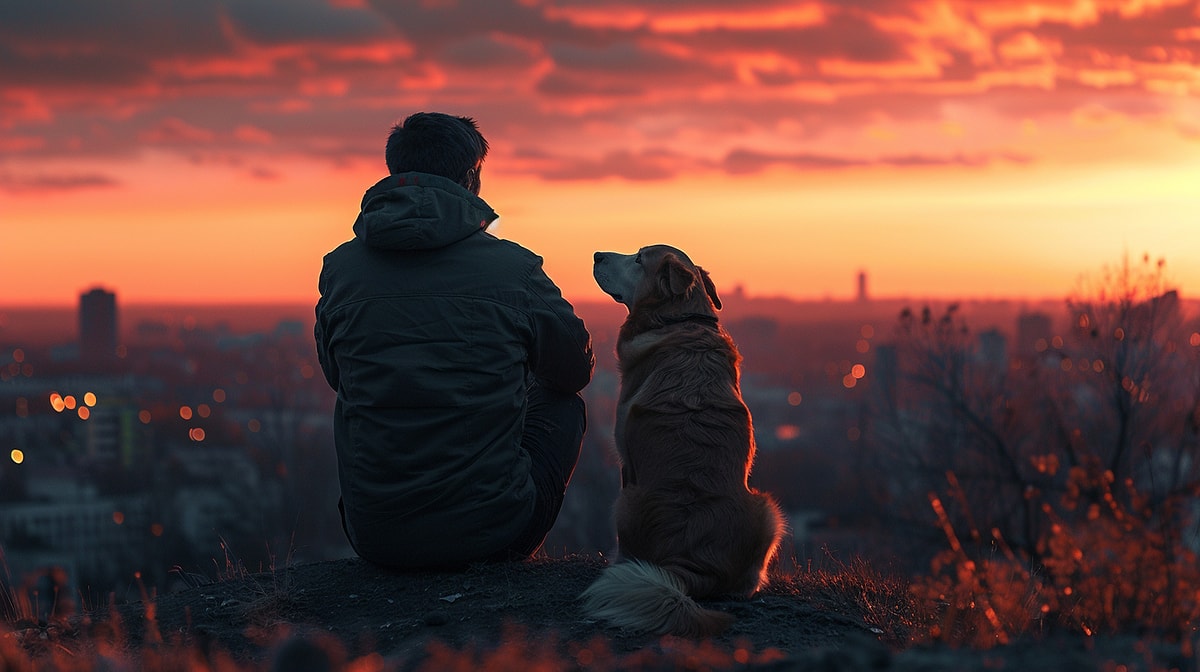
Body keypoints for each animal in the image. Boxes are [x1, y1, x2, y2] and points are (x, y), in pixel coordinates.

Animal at [580, 246, 787, 633]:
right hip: (767, 510)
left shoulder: (625, 459)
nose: (597, 254)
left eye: (638, 259)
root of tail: (689, 564)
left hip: (626, 500)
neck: (678, 321)